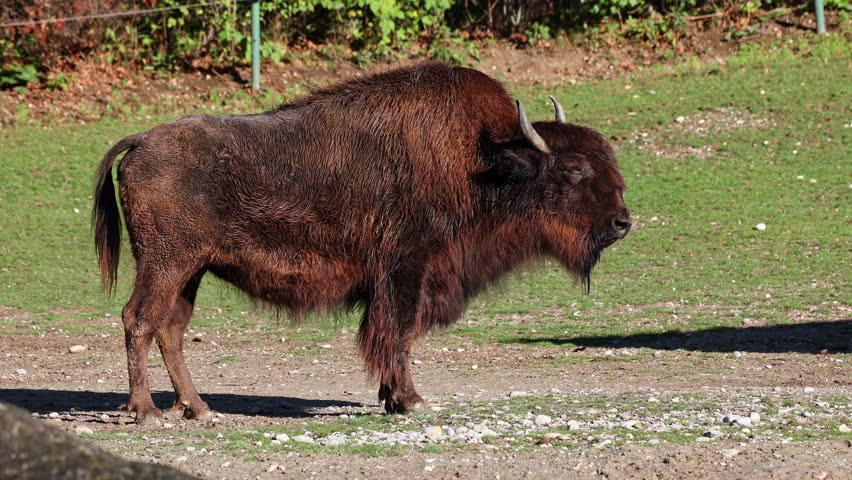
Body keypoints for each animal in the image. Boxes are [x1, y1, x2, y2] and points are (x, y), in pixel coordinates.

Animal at [93, 63, 630, 424]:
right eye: (573, 168)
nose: (623, 222)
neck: (486, 159)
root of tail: (141, 140)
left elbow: (397, 335)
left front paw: (394, 398)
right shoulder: (407, 269)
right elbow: (401, 334)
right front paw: (411, 400)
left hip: (191, 269)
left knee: (170, 328)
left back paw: (198, 409)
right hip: (166, 262)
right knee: (139, 319)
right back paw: (146, 412)